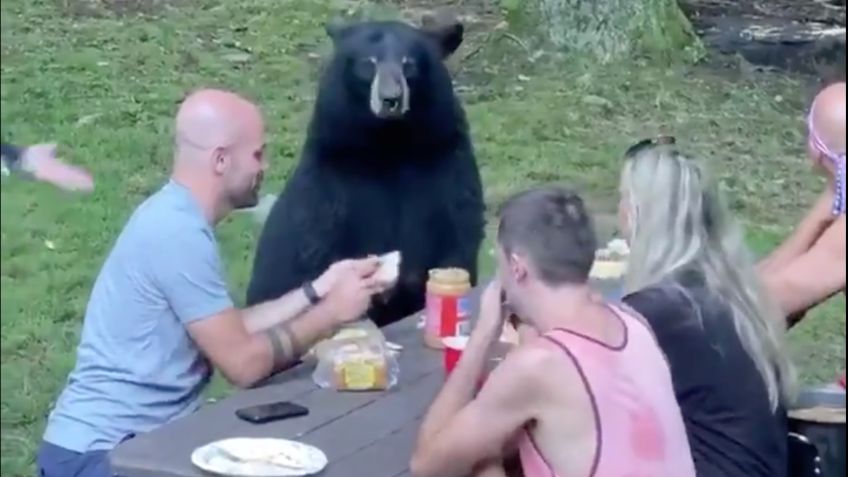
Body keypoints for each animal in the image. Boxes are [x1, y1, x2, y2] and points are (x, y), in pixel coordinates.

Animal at [245, 15, 484, 328]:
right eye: (368, 63)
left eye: (409, 63)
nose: (391, 99)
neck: (388, 144)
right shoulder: (331, 178)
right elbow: (318, 241)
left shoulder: (445, 160)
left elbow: (458, 227)